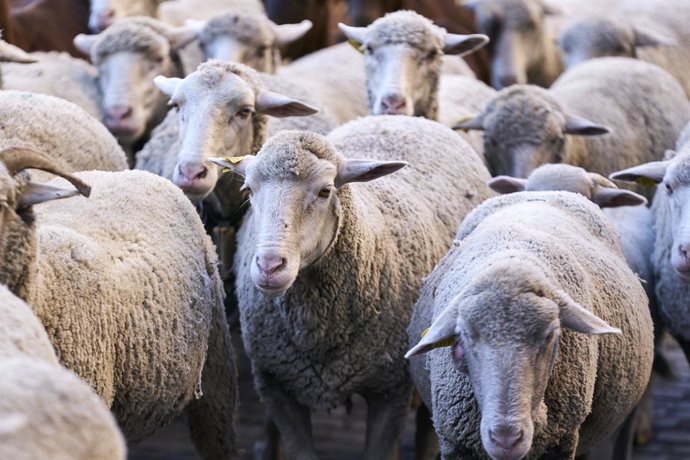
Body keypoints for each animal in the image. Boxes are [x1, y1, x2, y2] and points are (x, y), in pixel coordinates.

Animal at [209, 115, 494, 459]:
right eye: (248, 189)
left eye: (325, 191)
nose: (269, 266)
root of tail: (403, 117)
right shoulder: (276, 386)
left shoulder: (391, 389)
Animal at [406, 190, 653, 459]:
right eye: (466, 336)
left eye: (549, 335)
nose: (506, 440)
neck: (512, 255)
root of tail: (545, 191)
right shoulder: (455, 446)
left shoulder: (562, 444)